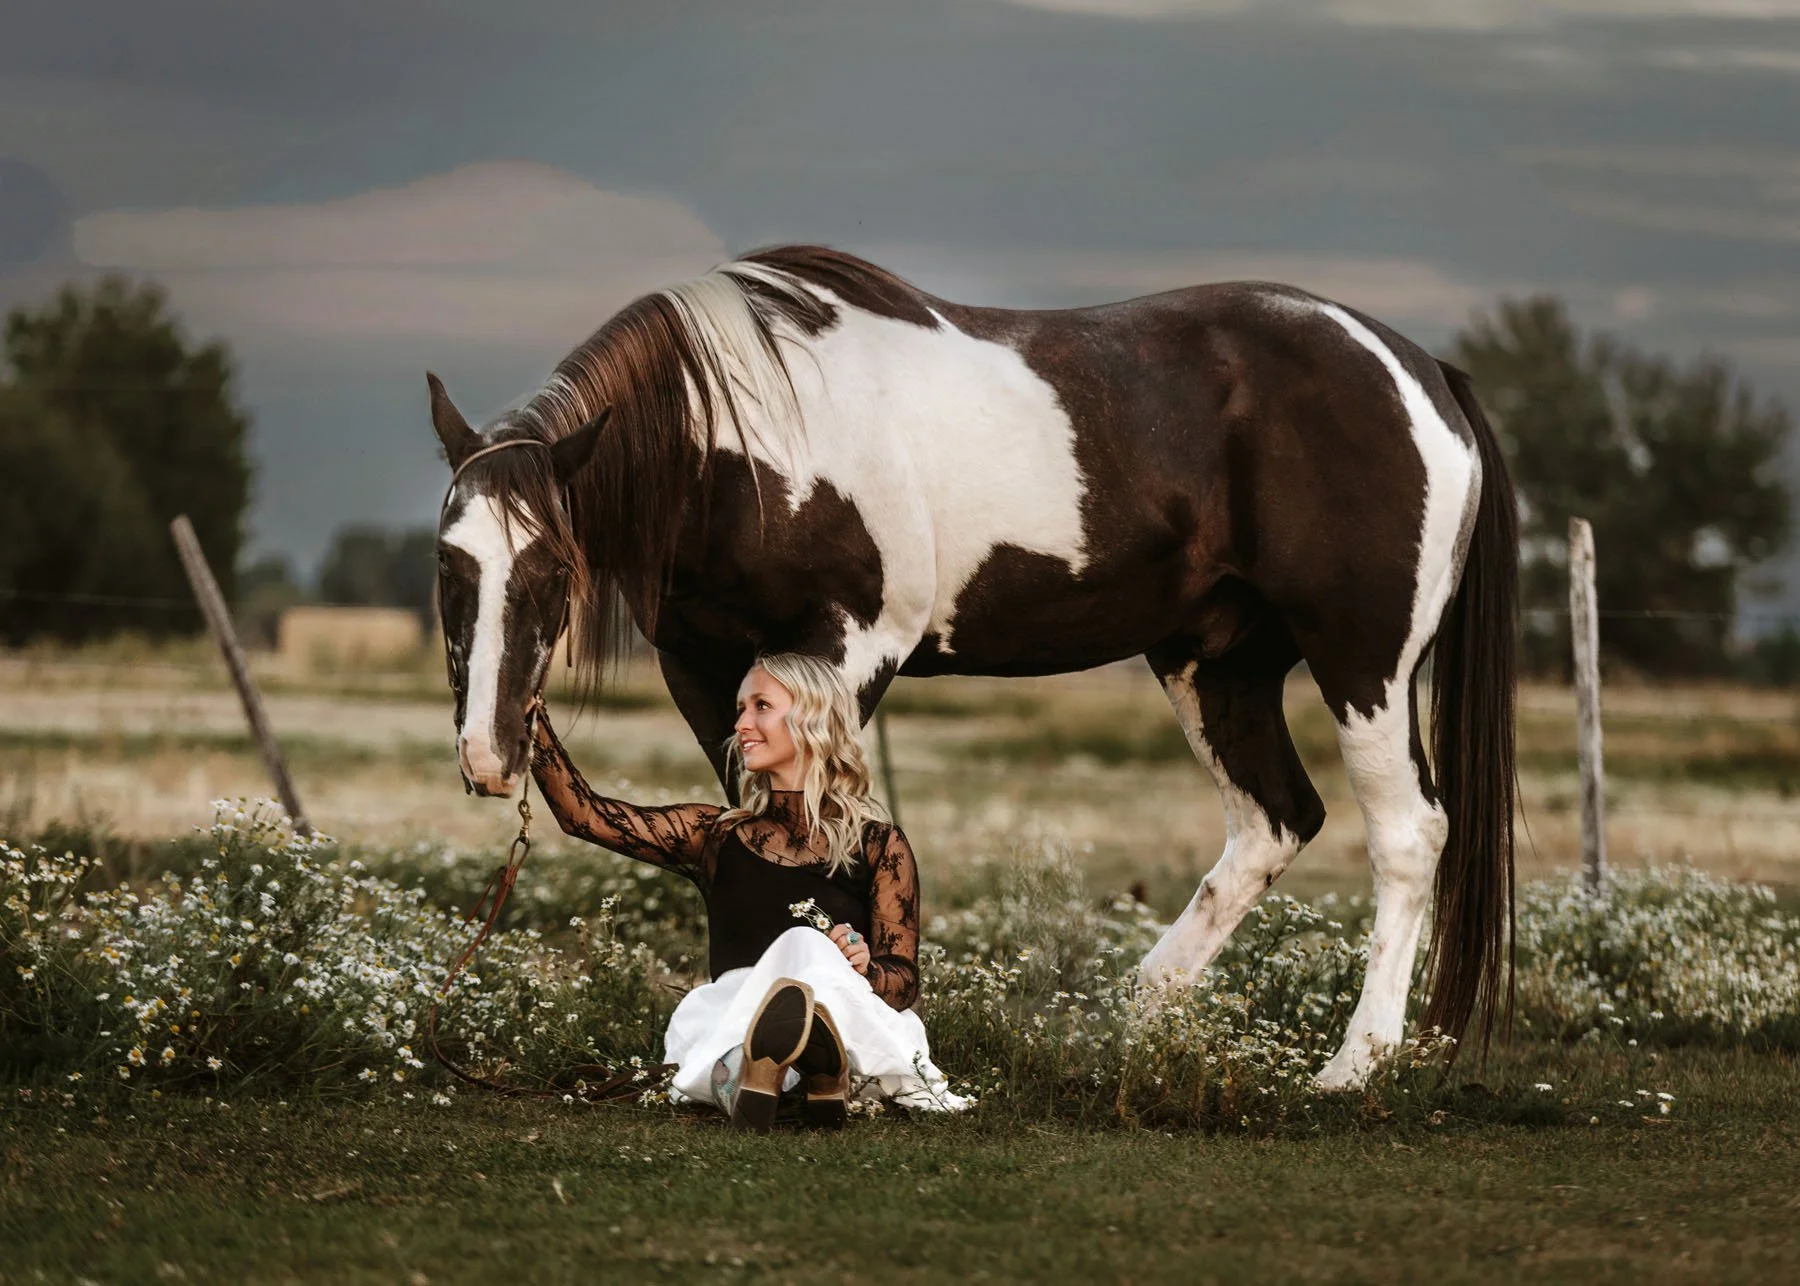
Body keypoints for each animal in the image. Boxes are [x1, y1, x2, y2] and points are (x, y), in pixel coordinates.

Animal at [427, 245, 1516, 1089]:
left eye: (552, 569)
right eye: (448, 563)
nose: (489, 753)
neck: (757, 438)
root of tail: (1422, 369)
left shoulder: (857, 643)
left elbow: (845, 832)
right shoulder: (708, 668)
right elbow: (743, 820)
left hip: (1365, 662)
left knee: (1407, 832)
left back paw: (1354, 1064)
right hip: (1219, 663)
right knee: (1273, 821)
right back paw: (1130, 1018)